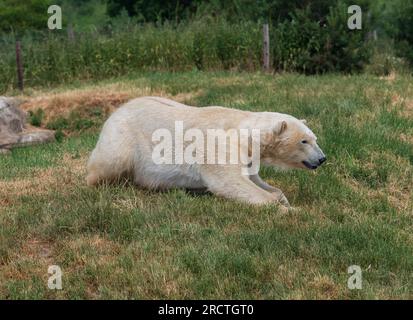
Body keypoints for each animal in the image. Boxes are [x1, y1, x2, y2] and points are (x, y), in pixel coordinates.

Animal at [87, 95, 326, 208]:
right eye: (304, 141)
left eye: (314, 138)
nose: (322, 158)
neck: (243, 131)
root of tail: (115, 111)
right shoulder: (220, 145)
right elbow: (230, 182)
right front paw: (289, 210)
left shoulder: (248, 157)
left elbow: (253, 179)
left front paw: (283, 199)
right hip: (123, 138)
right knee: (110, 161)